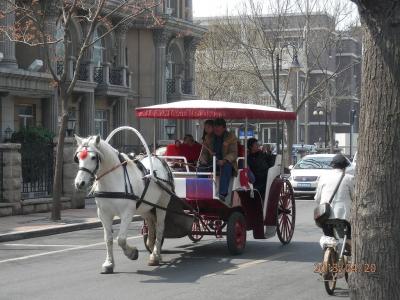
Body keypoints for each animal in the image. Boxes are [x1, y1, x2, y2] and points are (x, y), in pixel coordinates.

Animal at [73, 135, 172, 274]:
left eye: (93, 157)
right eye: (78, 157)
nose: (79, 183)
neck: (113, 180)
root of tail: (159, 158)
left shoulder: (127, 213)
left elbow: (120, 239)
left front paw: (132, 253)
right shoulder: (103, 214)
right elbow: (108, 239)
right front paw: (109, 263)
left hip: (162, 204)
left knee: (159, 228)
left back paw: (156, 254)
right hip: (145, 208)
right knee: (151, 224)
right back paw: (153, 249)